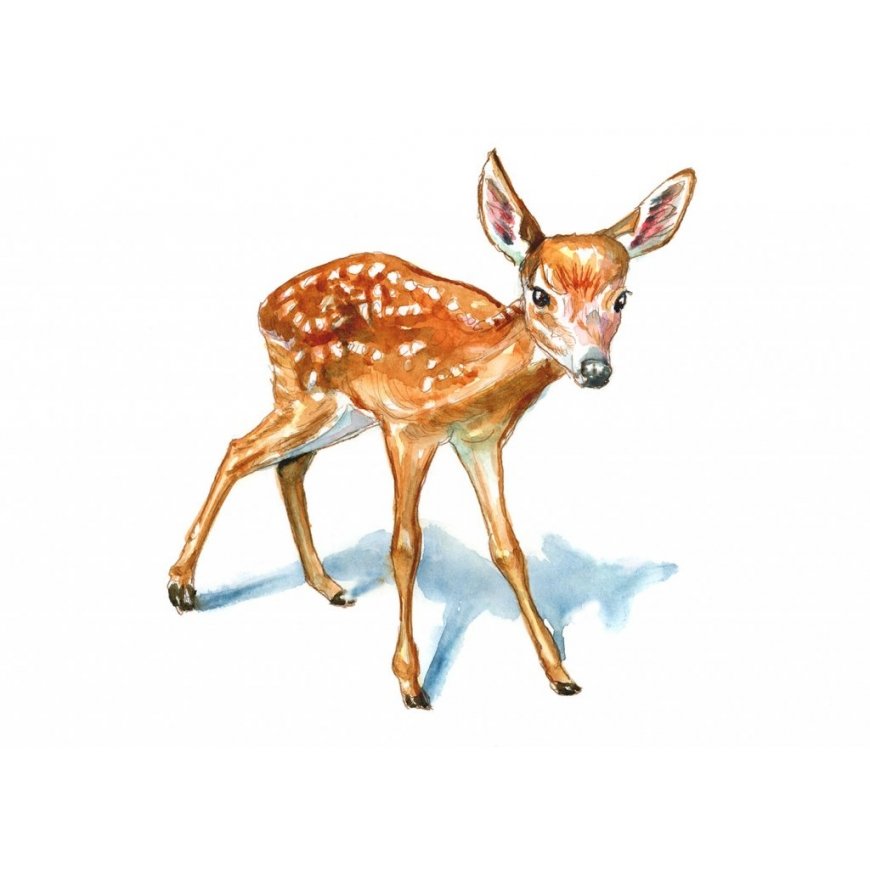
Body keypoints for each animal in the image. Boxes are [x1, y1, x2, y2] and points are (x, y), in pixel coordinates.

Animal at [168, 151, 696, 709]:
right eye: (539, 294)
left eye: (622, 299)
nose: (595, 369)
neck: (471, 379)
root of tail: (265, 306)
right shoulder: (406, 429)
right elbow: (405, 546)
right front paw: (410, 682)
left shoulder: (480, 441)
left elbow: (508, 548)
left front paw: (559, 672)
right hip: (303, 394)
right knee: (239, 449)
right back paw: (182, 587)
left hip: (341, 414)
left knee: (285, 464)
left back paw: (328, 585)